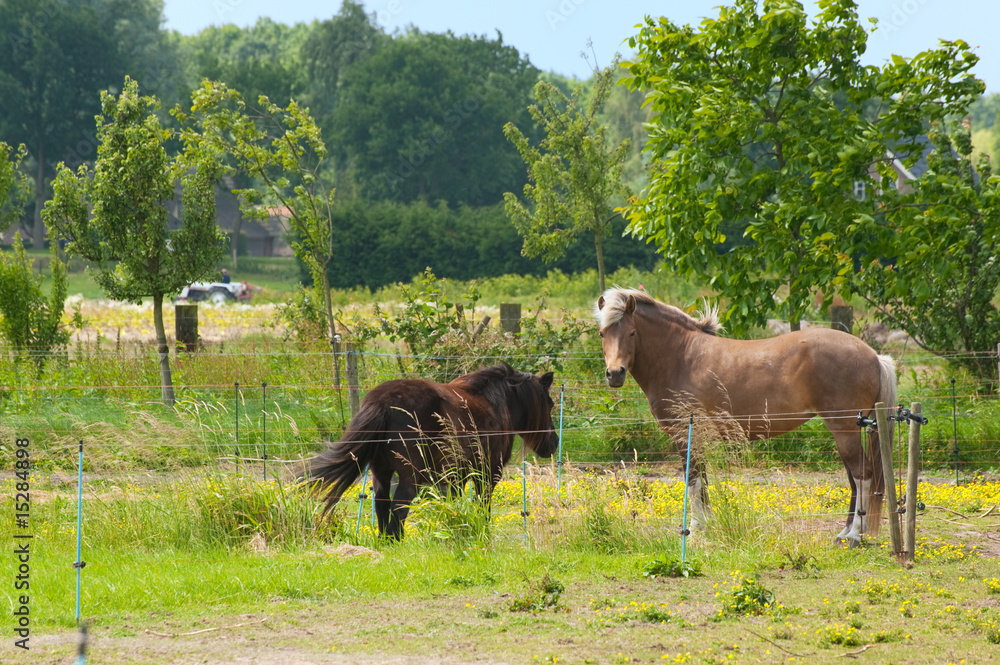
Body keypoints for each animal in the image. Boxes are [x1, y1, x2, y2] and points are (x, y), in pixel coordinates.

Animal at [302, 363, 559, 540]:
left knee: (382, 505)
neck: (497, 401)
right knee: (398, 508)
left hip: (381, 474)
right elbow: (482, 506)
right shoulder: (488, 473)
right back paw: (397, 542)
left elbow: (455, 504)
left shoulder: (457, 475)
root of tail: (381, 403)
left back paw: (386, 541)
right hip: (411, 476)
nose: (554, 443)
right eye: (550, 403)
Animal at [595, 287, 896, 546]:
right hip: (845, 430)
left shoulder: (686, 433)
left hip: (843, 429)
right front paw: (708, 524)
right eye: (602, 334)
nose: (615, 374)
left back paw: (855, 535)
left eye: (632, 333)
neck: (680, 356)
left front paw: (695, 529)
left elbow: (693, 481)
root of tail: (874, 356)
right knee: (854, 479)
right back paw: (844, 532)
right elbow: (703, 481)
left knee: (862, 475)